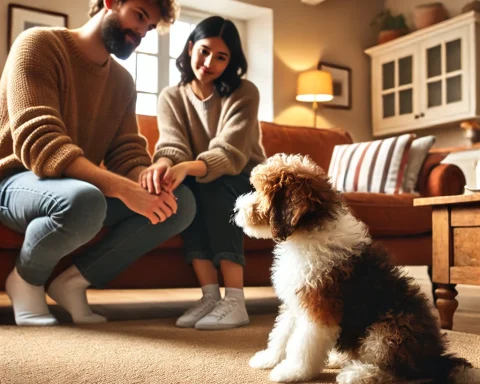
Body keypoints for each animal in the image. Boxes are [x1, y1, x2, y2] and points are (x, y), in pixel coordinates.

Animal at [233, 154, 476, 384]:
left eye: (260, 192)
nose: (236, 209)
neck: (303, 237)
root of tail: (436, 359)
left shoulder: (318, 308)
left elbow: (303, 343)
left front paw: (292, 371)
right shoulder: (294, 303)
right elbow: (281, 334)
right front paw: (268, 359)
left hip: (388, 330)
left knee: (394, 371)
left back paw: (357, 373)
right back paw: (339, 359)